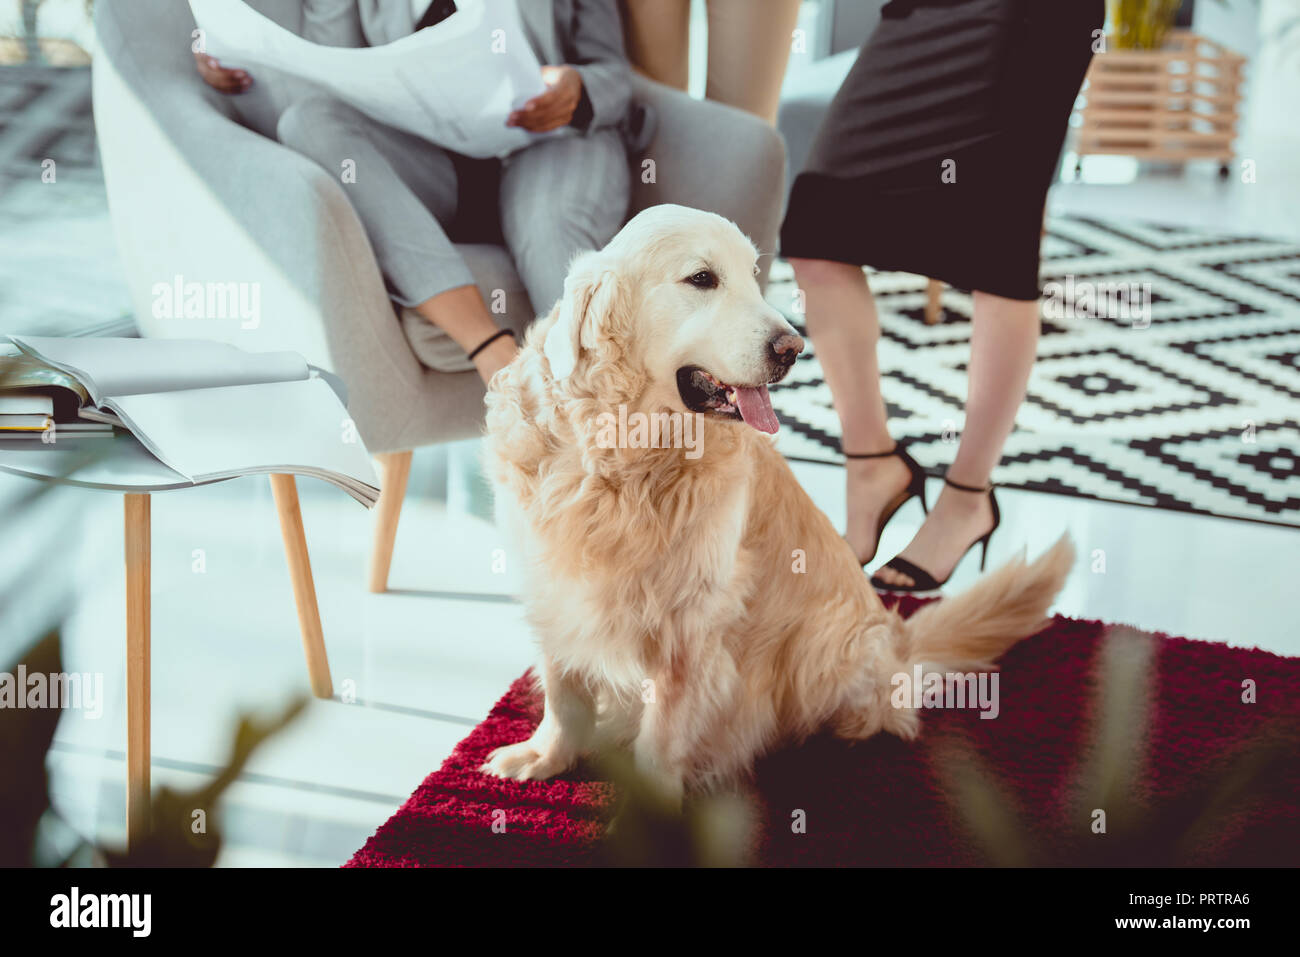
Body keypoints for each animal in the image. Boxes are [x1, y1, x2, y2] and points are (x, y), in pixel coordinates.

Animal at [483, 208, 1071, 800]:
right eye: (702, 278)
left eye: (752, 274)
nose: (793, 349)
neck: (623, 456)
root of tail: (897, 643)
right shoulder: (555, 588)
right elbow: (565, 693)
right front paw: (546, 756)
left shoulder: (689, 627)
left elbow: (662, 736)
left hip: (827, 647)